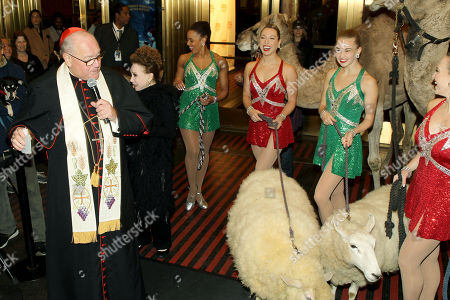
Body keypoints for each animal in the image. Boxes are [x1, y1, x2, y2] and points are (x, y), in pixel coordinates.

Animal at [236, 14, 414, 189]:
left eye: (256, 29)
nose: (238, 38)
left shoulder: (377, 100)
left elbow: (373, 159)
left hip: (405, 97)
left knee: (407, 135)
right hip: (397, 101)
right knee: (398, 131)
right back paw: (387, 168)